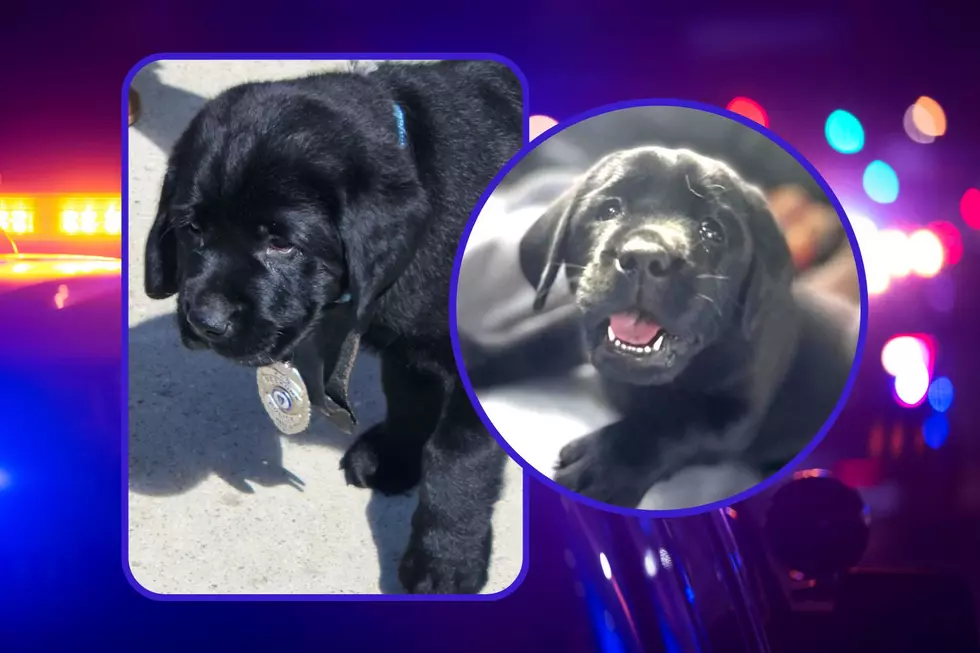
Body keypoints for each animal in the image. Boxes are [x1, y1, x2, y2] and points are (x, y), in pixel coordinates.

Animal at [143, 59, 524, 592]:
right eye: (192, 229)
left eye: (281, 243)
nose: (206, 322)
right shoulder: (408, 344)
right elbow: (409, 400)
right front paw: (393, 458)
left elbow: (457, 459)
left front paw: (445, 560)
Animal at [524, 145, 852, 506]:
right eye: (609, 209)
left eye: (712, 231)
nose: (645, 258)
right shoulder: (577, 325)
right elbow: (531, 342)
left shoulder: (736, 415)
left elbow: (675, 424)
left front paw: (603, 463)